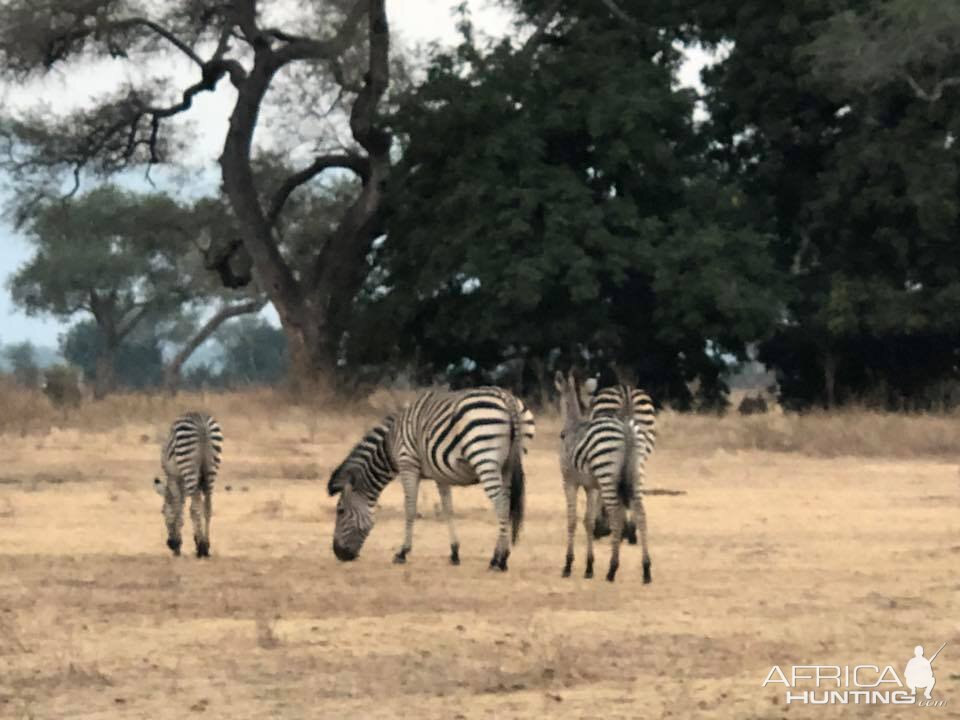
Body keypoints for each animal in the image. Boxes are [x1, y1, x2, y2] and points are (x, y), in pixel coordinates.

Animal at [152, 410, 223, 556]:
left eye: (162, 512)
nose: (169, 544)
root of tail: (201, 421)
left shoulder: (175, 478)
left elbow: (178, 506)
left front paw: (178, 544)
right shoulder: (189, 482)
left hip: (188, 465)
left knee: (195, 508)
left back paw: (201, 548)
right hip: (211, 470)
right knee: (208, 506)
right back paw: (206, 545)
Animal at [330, 388, 536, 572]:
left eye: (340, 511)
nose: (338, 554)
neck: (390, 445)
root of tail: (508, 398)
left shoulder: (408, 465)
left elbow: (410, 509)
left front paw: (402, 552)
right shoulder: (441, 475)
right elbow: (448, 509)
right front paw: (454, 553)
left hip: (484, 457)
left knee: (500, 504)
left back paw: (499, 560)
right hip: (509, 464)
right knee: (507, 504)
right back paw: (499, 557)